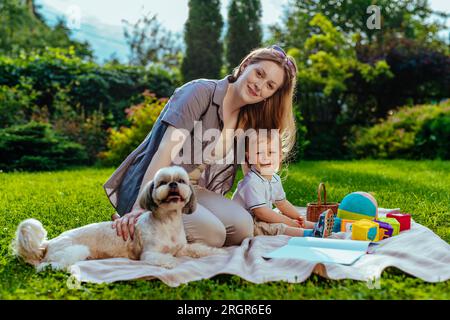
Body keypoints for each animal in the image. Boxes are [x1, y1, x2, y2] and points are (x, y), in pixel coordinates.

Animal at [12, 166, 227, 272]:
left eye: (181, 181)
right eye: (161, 183)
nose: (173, 184)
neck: (168, 223)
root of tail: (47, 244)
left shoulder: (182, 248)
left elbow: (199, 249)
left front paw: (216, 252)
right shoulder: (149, 254)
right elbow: (164, 258)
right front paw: (171, 263)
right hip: (74, 251)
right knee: (46, 266)